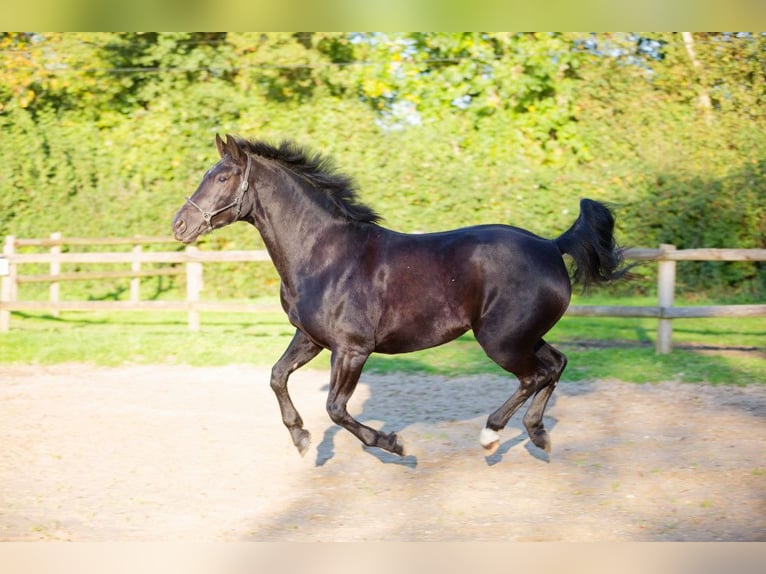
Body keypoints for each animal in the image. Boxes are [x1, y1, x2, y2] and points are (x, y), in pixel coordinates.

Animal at [174, 135, 632, 460]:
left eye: (221, 177)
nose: (179, 225)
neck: (323, 253)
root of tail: (553, 246)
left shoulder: (352, 348)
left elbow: (336, 409)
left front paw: (393, 443)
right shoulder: (311, 338)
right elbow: (276, 376)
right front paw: (301, 438)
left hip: (501, 339)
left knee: (535, 375)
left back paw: (490, 434)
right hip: (524, 336)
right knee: (555, 365)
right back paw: (537, 434)